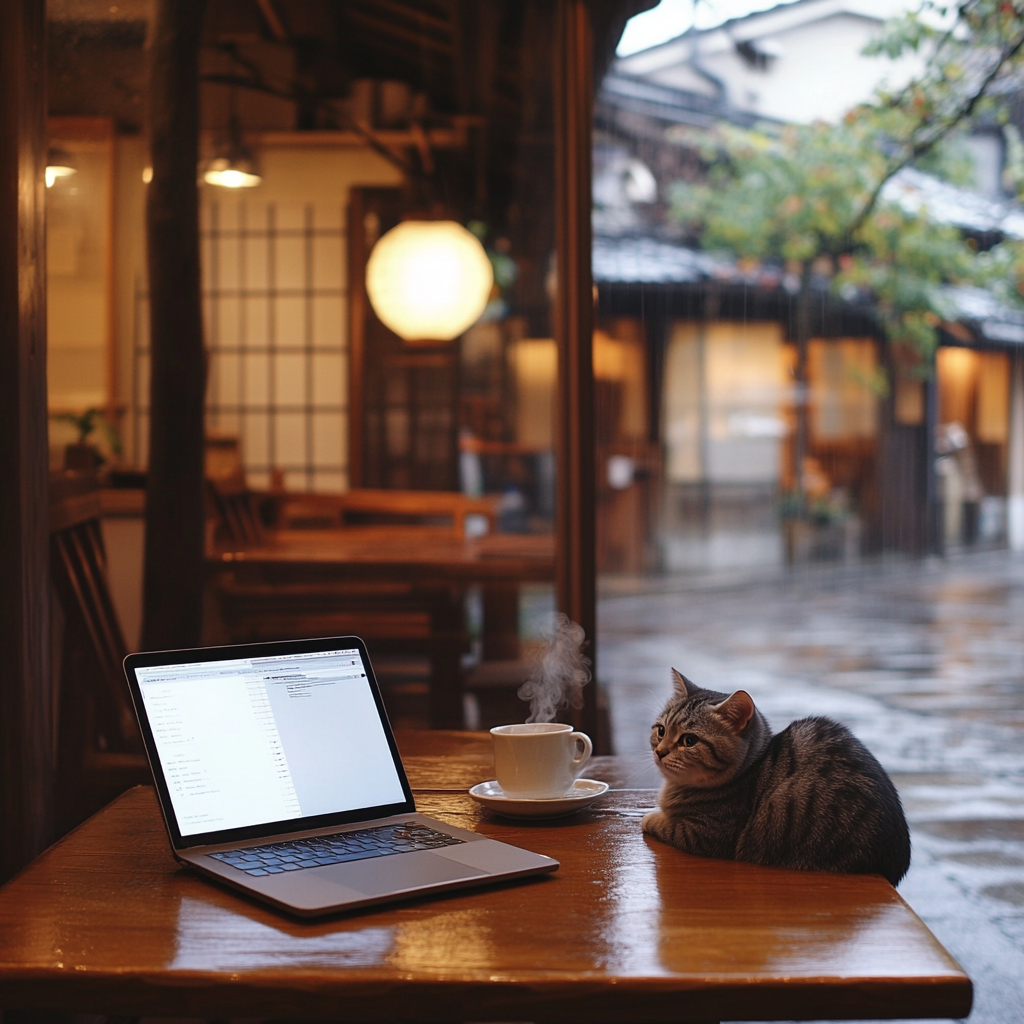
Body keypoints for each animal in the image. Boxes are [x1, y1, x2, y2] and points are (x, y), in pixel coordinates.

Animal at [638, 671, 913, 880]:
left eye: (689, 740)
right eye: (661, 731)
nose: (660, 752)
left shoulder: (705, 834)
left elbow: (664, 824)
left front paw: (650, 817)